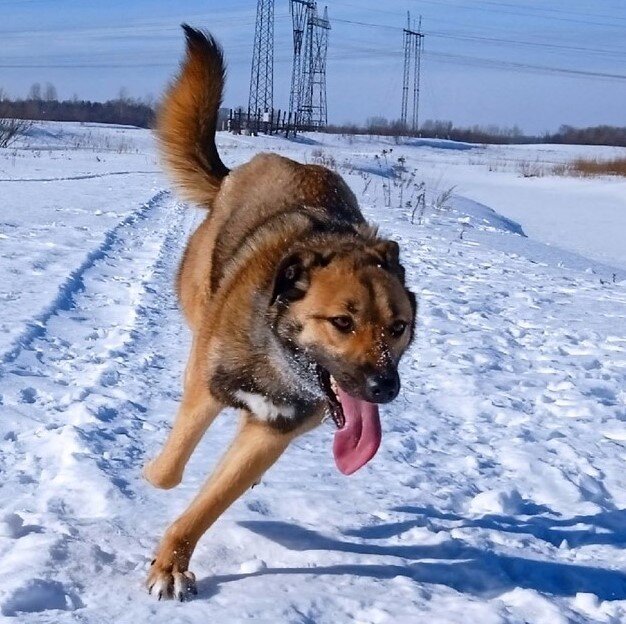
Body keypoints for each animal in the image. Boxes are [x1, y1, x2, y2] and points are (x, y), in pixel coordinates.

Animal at [141, 24, 414, 600]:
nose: (384, 388)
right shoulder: (209, 384)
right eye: (342, 323)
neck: (276, 353)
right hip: (198, 295)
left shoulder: (273, 431)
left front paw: (173, 560)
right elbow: (170, 470)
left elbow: (209, 503)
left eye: (399, 328)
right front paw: (154, 477)